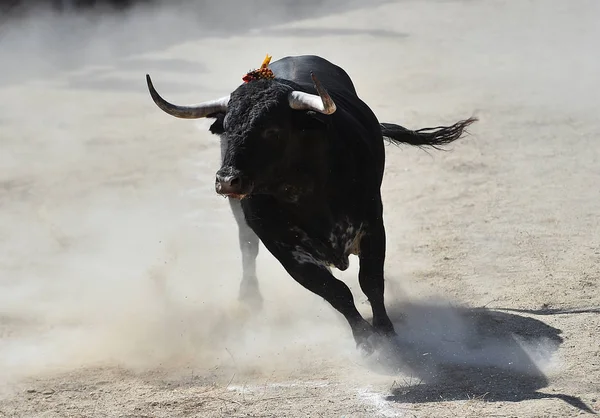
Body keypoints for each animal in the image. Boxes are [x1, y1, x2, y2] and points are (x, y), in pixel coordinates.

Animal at [144, 54, 474, 356]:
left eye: (272, 130)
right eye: (226, 126)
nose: (226, 181)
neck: (306, 191)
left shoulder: (372, 224)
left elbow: (370, 282)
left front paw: (385, 330)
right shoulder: (283, 247)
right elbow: (335, 291)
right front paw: (365, 340)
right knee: (247, 247)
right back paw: (250, 298)